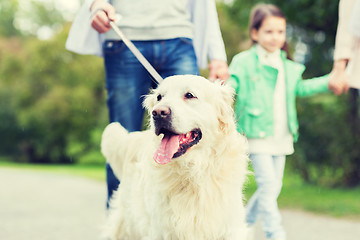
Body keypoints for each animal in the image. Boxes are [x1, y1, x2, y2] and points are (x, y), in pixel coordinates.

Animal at [100, 75, 248, 240]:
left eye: (189, 95)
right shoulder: (162, 231)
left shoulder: (230, 228)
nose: (158, 113)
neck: (192, 172)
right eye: (159, 97)